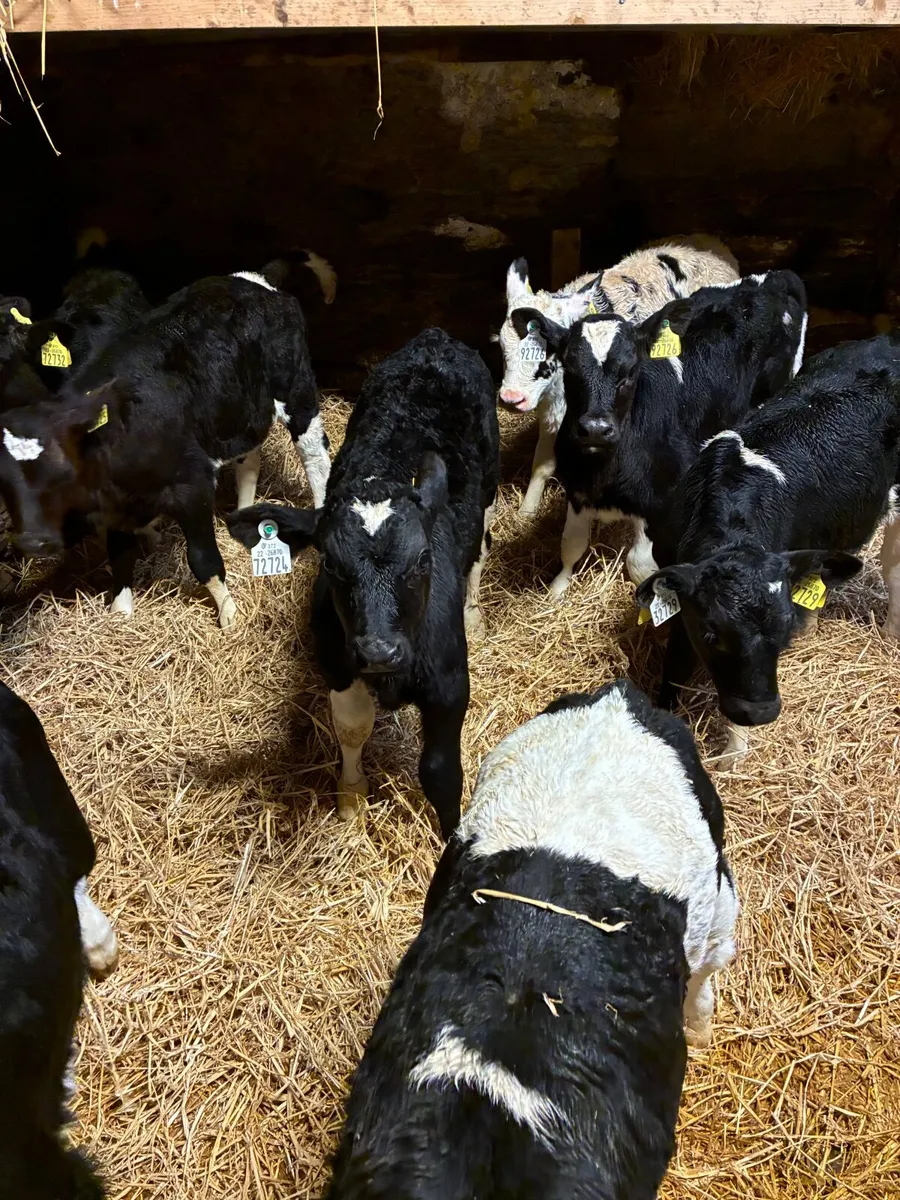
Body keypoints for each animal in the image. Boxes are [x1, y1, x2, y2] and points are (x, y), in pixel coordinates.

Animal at [227, 328, 499, 839]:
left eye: (423, 559)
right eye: (330, 562)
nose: (378, 650)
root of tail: (436, 339)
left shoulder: (450, 682)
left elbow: (440, 770)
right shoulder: (336, 661)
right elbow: (353, 727)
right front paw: (352, 795)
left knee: (482, 544)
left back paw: (475, 610)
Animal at [497, 236, 739, 516]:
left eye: (549, 350)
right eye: (501, 346)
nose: (511, 398)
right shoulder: (551, 411)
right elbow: (542, 463)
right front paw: (527, 510)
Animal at [515, 270, 808, 597]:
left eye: (630, 372)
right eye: (568, 369)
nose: (595, 429)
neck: (603, 473)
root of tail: (773, 277)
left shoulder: (659, 504)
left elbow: (640, 564)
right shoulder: (577, 490)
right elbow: (571, 545)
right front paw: (556, 591)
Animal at [637, 333, 900, 760]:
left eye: (782, 629)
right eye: (711, 634)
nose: (760, 713)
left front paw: (733, 753)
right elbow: (675, 664)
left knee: (893, 569)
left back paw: (891, 634)